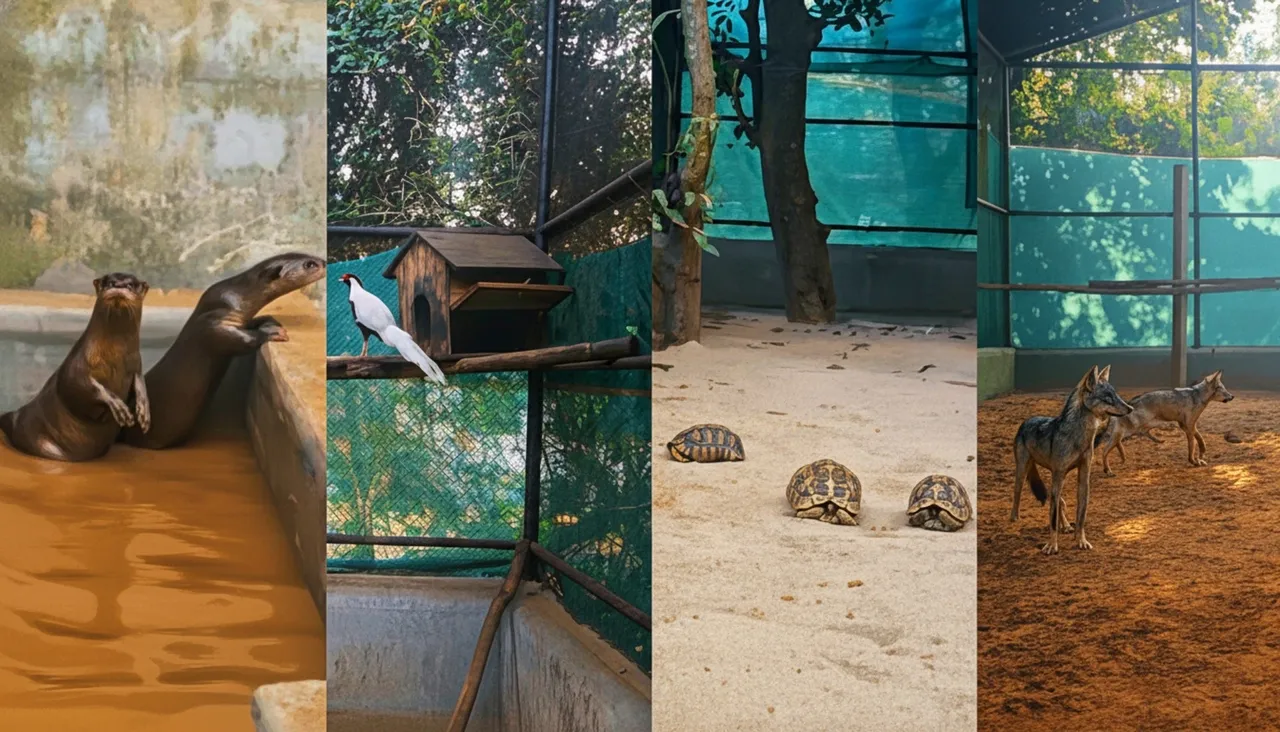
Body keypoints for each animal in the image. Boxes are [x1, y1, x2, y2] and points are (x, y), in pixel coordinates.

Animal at [0, 273, 150, 462]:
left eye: (131, 285)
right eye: (108, 282)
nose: (117, 285)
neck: (115, 359)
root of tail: (15, 417)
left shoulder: (136, 365)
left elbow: (140, 382)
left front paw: (144, 412)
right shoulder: (76, 366)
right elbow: (79, 386)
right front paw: (119, 408)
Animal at [119, 252, 325, 449]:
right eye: (309, 264)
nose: (324, 262)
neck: (235, 299)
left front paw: (267, 319)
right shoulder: (213, 325)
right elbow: (240, 339)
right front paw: (271, 331)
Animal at [1011, 365, 1133, 555]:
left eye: (1116, 395)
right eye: (1108, 398)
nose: (1131, 408)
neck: (1079, 437)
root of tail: (1027, 421)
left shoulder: (1083, 477)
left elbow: (1080, 516)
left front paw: (1081, 541)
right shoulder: (1058, 474)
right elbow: (1052, 518)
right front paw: (1052, 546)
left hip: (1055, 477)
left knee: (1058, 500)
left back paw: (1067, 526)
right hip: (1026, 473)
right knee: (1018, 494)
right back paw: (1014, 519)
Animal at [1094, 370, 1235, 476]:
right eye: (1223, 389)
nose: (1232, 396)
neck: (1197, 396)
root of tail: (1129, 403)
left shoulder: (1186, 426)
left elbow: (1199, 440)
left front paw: (1200, 457)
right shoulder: (1189, 426)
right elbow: (1193, 445)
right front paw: (1195, 461)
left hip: (1135, 429)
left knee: (1132, 438)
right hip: (1127, 431)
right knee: (1105, 450)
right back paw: (1108, 470)